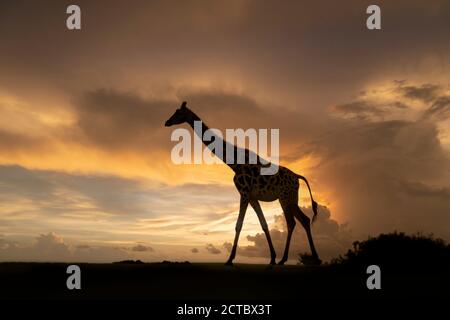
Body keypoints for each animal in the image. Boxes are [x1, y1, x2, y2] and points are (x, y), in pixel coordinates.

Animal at [164, 100, 320, 264]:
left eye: (178, 112)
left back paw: (285, 259)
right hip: (291, 198)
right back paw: (311, 258)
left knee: (292, 222)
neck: (234, 163)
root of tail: (297, 176)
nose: (167, 122)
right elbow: (263, 224)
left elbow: (239, 225)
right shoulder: (252, 197)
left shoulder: (244, 193)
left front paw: (230, 260)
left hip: (285, 197)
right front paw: (271, 258)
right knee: (304, 220)